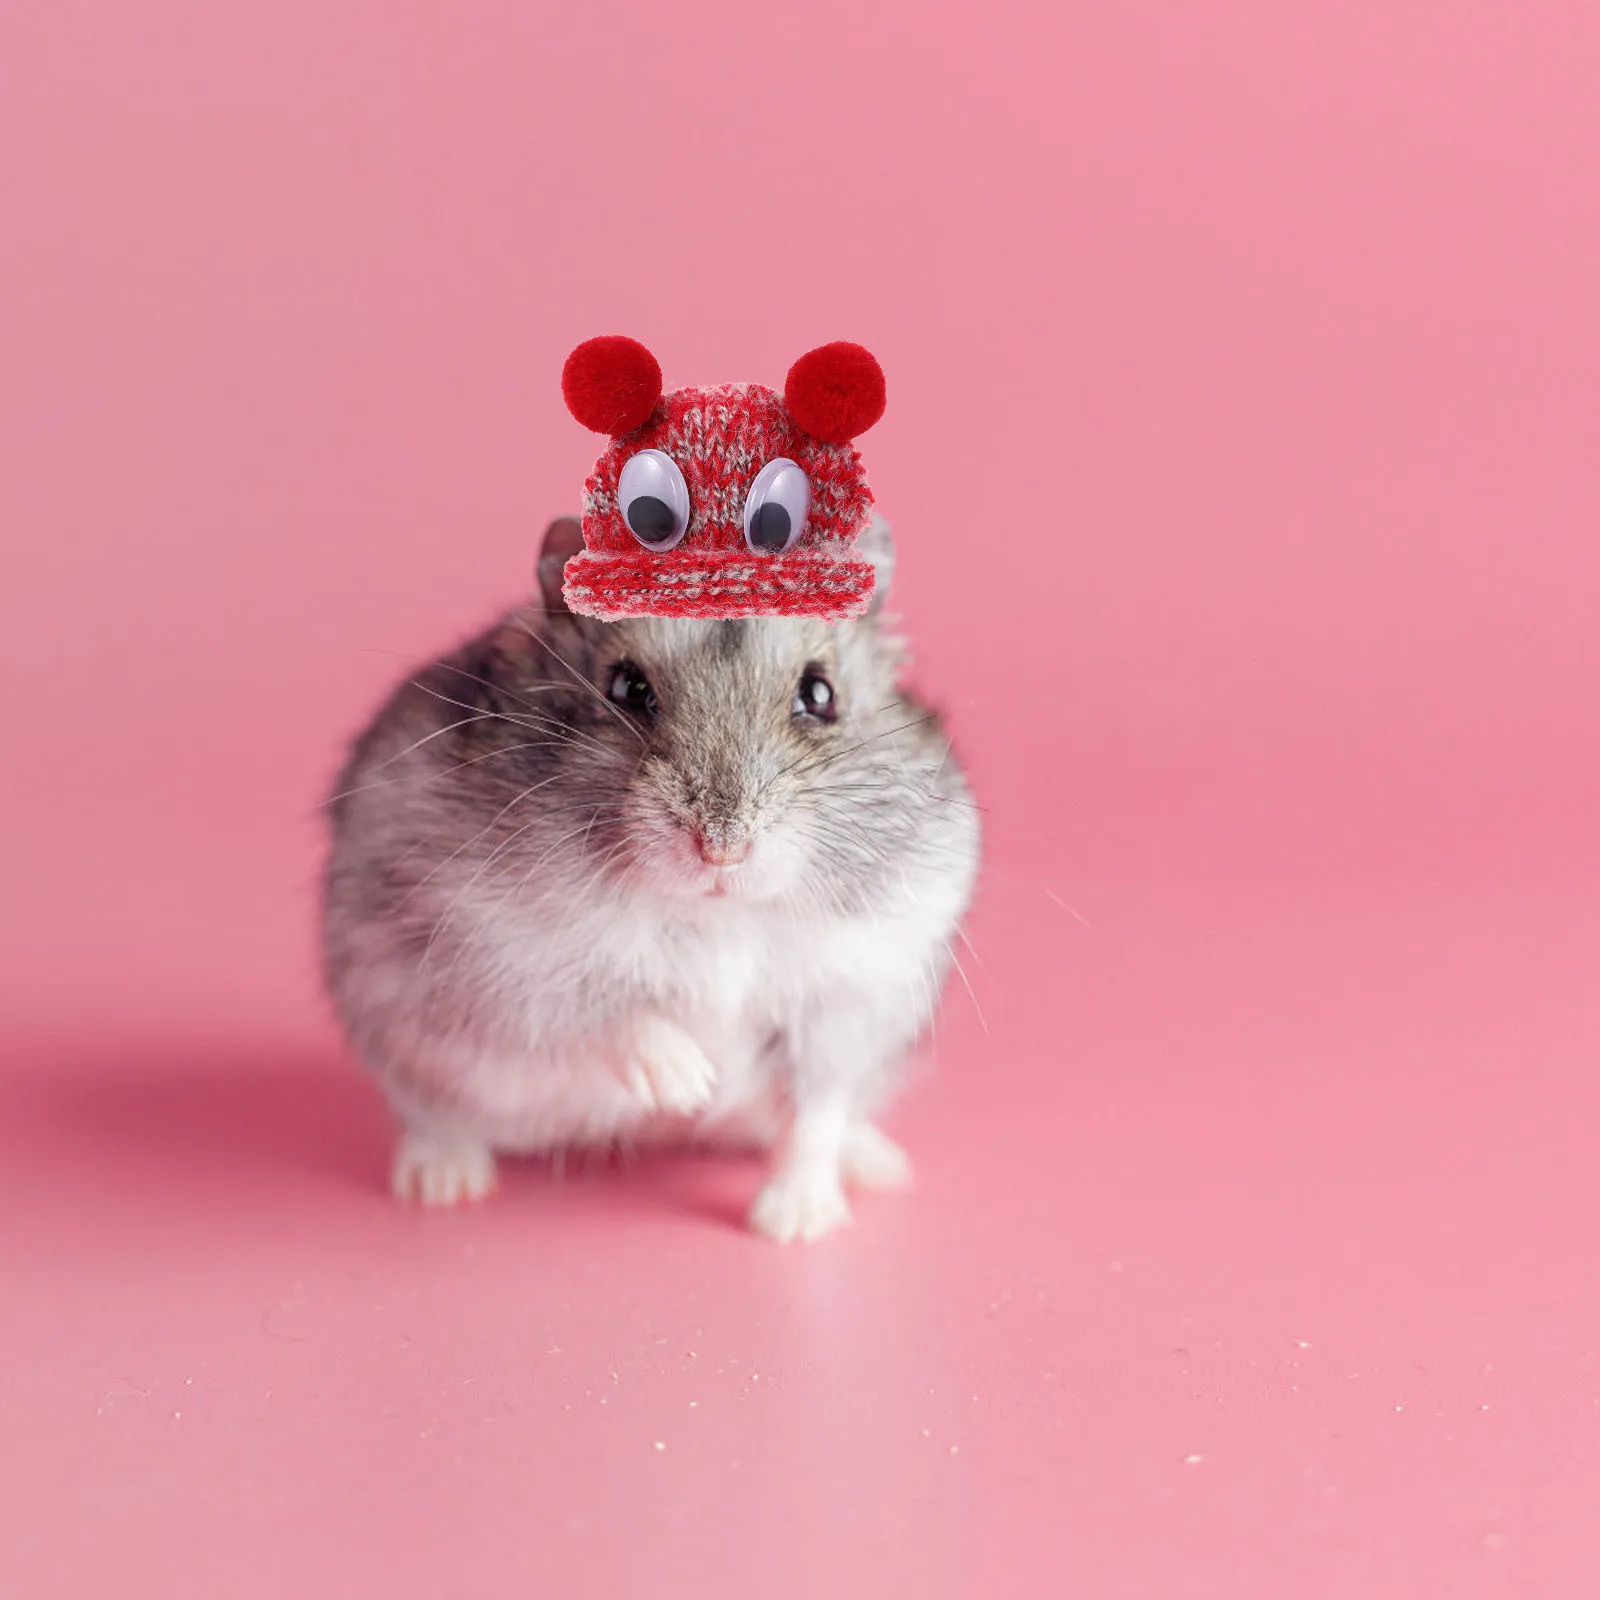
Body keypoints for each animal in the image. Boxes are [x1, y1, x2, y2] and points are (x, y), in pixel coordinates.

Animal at [319, 514, 980, 1241]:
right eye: (626, 689)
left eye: (819, 695)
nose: (721, 850)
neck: (716, 913)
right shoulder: (494, 954)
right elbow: (604, 1009)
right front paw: (690, 1081)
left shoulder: (850, 1002)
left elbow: (815, 1115)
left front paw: (792, 1223)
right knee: (435, 1116)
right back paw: (444, 1183)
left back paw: (879, 1166)